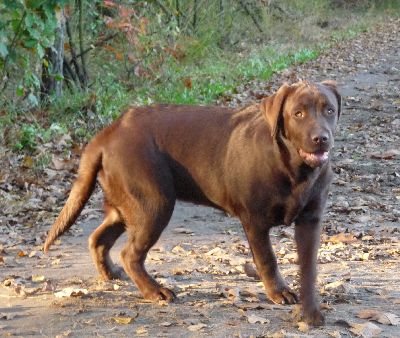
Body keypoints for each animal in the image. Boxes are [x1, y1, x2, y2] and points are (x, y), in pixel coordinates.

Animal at [46, 81, 340, 324]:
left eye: (329, 110)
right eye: (298, 113)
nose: (321, 138)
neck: (295, 170)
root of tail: (110, 132)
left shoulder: (311, 220)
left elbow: (309, 266)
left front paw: (311, 311)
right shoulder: (255, 221)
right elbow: (268, 259)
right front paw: (278, 292)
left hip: (129, 205)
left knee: (99, 238)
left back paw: (110, 273)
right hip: (154, 204)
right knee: (130, 253)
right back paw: (155, 291)